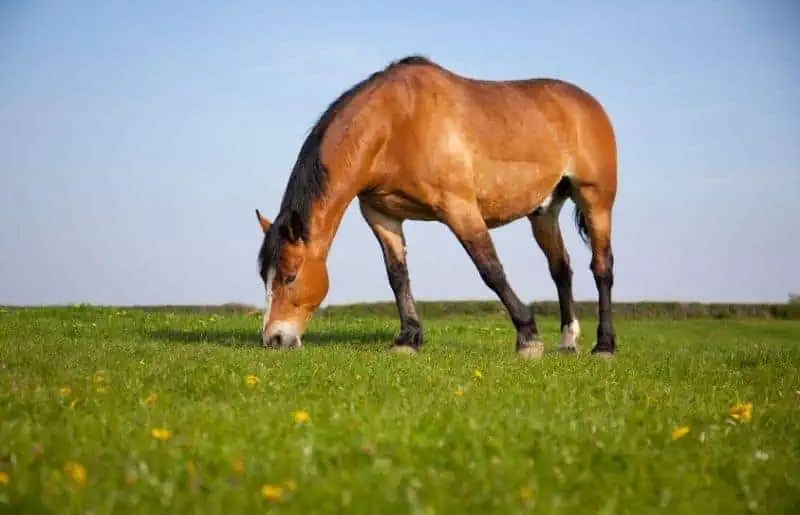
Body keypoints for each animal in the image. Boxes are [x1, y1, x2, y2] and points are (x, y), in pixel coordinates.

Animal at [255, 55, 617, 358]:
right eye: (263, 276)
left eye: (290, 276)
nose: (274, 339)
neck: (396, 123)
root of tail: (588, 104)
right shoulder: (382, 216)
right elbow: (397, 276)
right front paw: (408, 339)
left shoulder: (460, 208)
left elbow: (491, 269)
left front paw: (528, 337)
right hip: (544, 212)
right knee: (561, 269)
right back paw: (568, 342)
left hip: (596, 201)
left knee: (602, 267)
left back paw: (604, 345)